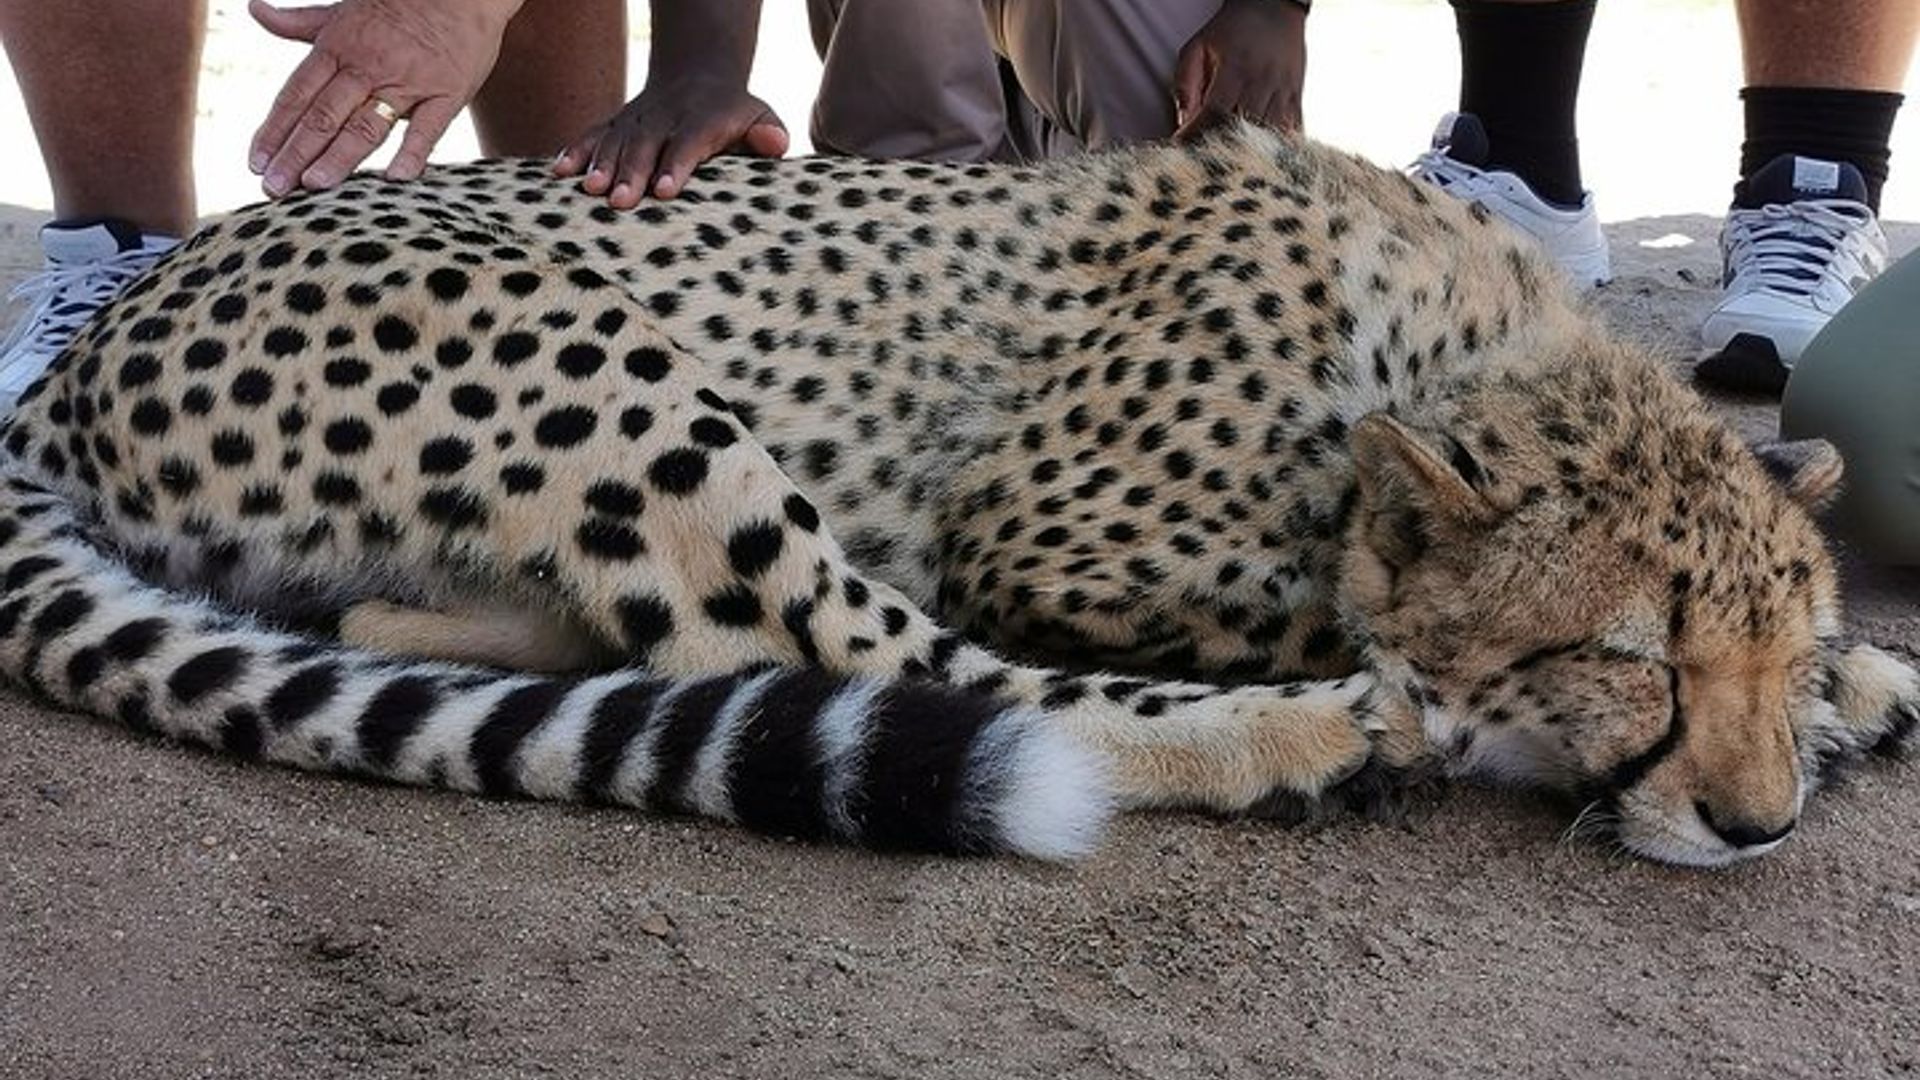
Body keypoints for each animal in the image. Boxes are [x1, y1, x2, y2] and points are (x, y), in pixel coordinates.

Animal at [0, 123, 1913, 866]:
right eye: (1635, 660)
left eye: (1762, 644)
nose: (1755, 828)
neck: (1458, 353)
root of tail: (81, 355)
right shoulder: (1037, 530)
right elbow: (1341, 612)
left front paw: (1863, 679)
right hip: (581, 349)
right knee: (834, 652)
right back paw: (1293, 742)